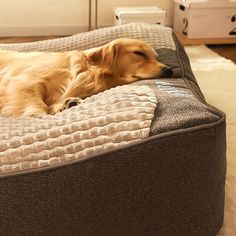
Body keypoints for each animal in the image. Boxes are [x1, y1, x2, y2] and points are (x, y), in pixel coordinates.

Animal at [0, 38, 173, 118]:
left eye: (156, 57)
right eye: (139, 53)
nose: (169, 70)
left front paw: (68, 103)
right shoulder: (23, 80)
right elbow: (35, 103)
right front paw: (37, 114)